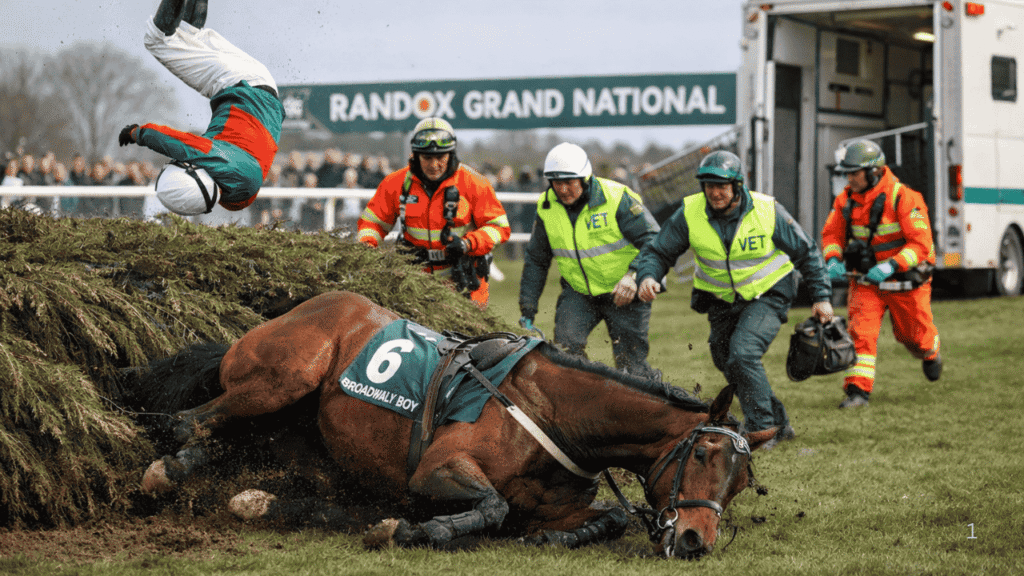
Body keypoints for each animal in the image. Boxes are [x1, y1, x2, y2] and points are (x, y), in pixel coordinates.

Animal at [133, 290, 777, 559]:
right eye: (701, 456)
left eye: (741, 484)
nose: (695, 541)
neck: (553, 415)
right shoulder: (439, 467)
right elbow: (490, 505)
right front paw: (413, 529)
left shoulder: (557, 501)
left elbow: (610, 516)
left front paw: (552, 538)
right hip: (287, 374)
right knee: (188, 423)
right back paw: (168, 471)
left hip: (299, 434)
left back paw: (252, 497)